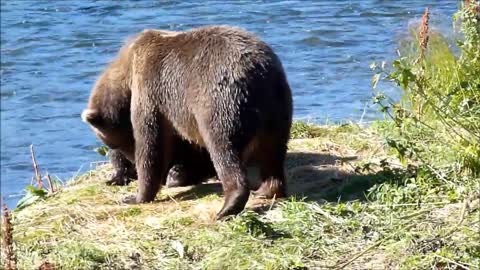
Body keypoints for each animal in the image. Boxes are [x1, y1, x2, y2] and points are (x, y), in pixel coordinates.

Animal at [81, 25, 292, 219]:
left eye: (116, 142)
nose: (131, 163)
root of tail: (259, 73)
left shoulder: (151, 91)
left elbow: (151, 144)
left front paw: (136, 196)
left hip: (219, 101)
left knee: (224, 149)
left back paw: (227, 207)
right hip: (278, 107)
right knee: (273, 152)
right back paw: (267, 190)